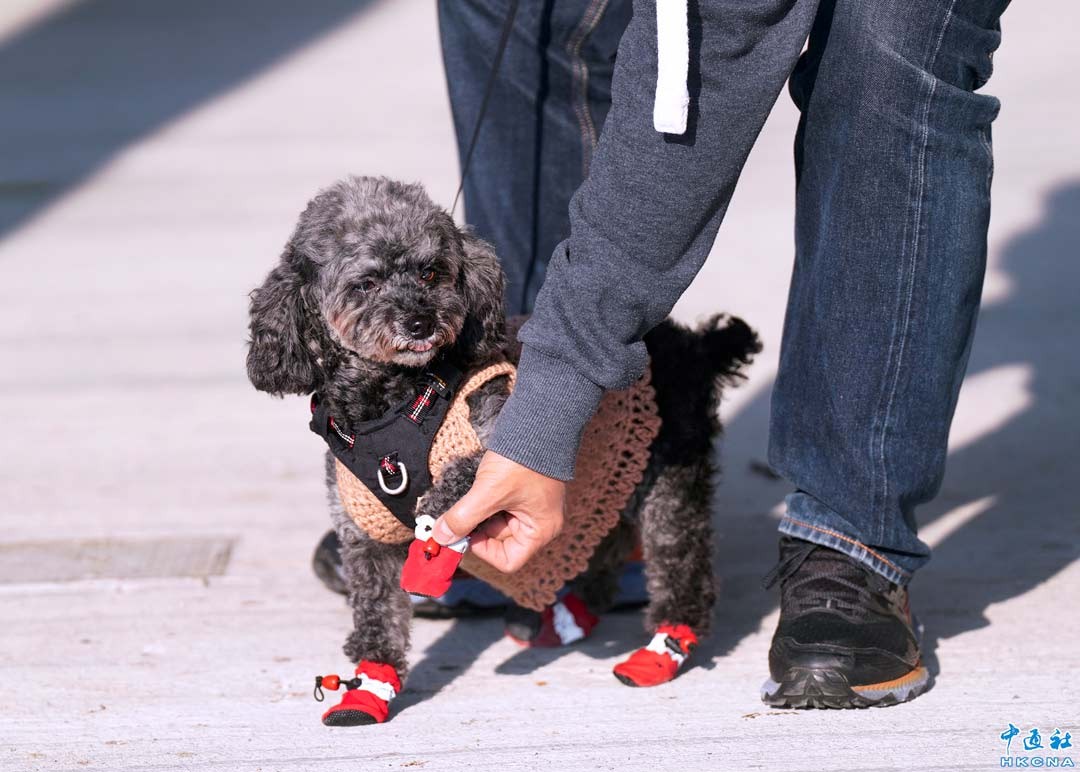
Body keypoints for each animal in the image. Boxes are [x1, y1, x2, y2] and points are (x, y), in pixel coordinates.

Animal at [246, 176, 760, 725]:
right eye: (365, 284)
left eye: (431, 272)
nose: (421, 322)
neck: (393, 401)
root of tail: (694, 346)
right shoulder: (364, 532)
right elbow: (378, 615)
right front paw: (370, 687)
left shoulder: (510, 441)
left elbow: (470, 471)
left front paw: (436, 506)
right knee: (609, 546)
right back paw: (571, 615)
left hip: (669, 479)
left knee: (680, 566)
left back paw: (664, 646)